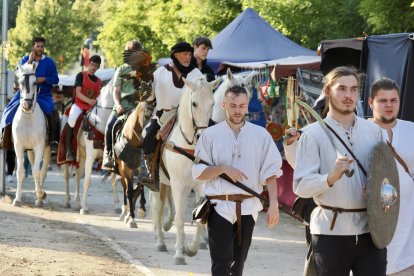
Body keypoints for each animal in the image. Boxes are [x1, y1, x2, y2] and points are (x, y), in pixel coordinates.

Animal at [12, 62, 50, 207]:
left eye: (35, 83)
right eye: (20, 82)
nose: (27, 105)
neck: (28, 118)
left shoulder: (39, 146)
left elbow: (36, 171)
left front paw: (41, 195)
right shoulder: (19, 146)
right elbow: (20, 171)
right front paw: (17, 199)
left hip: (47, 149)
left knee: (42, 171)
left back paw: (40, 197)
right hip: (29, 151)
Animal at [59, 78, 119, 215]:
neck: (101, 121)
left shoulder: (109, 157)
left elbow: (114, 180)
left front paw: (118, 207)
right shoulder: (91, 156)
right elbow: (87, 181)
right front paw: (84, 207)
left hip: (81, 157)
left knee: (77, 176)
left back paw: (76, 203)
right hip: (68, 157)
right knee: (67, 176)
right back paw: (67, 201)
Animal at [152, 76, 222, 266]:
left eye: (212, 103)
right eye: (194, 103)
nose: (202, 136)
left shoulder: (199, 185)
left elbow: (199, 219)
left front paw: (191, 249)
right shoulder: (177, 184)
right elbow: (179, 218)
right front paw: (179, 255)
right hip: (158, 184)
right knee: (159, 209)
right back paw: (160, 242)